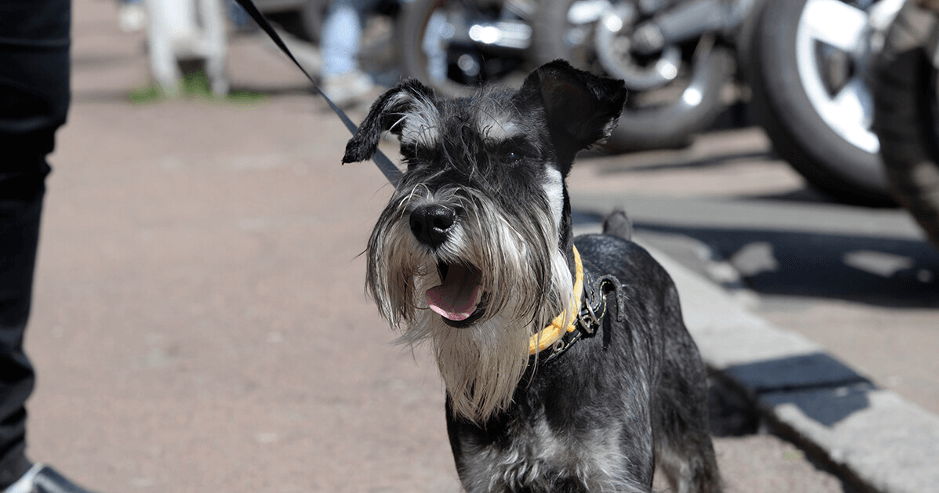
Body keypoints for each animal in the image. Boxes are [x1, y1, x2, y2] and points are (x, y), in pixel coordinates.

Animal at [344, 59, 720, 490]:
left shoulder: (613, 475)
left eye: (510, 152)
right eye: (414, 156)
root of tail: (619, 235)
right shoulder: (485, 477)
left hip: (688, 439)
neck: (536, 363)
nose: (428, 219)